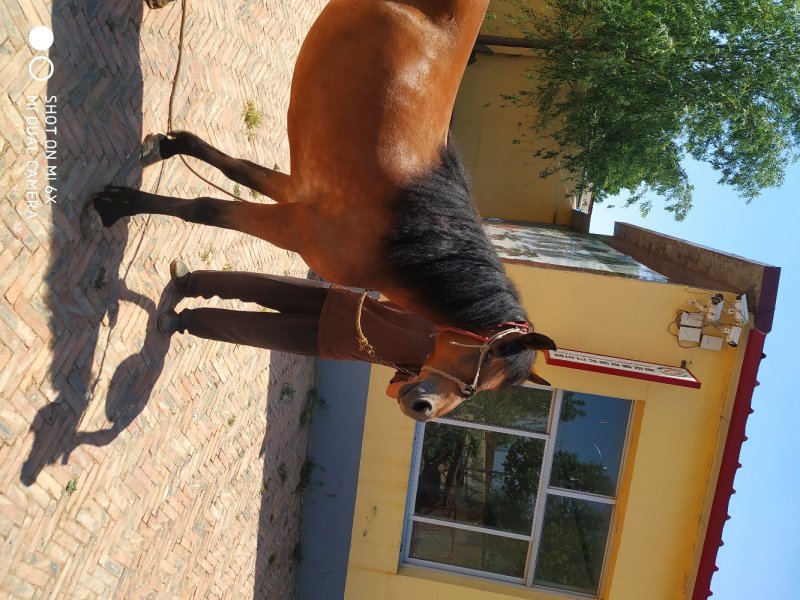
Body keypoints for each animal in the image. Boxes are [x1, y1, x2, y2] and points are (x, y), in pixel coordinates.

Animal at [92, 0, 556, 422]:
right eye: (482, 373)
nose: (422, 409)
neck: (406, 236)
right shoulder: (292, 225)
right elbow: (204, 207)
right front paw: (119, 205)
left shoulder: (296, 192)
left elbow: (235, 168)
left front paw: (169, 146)